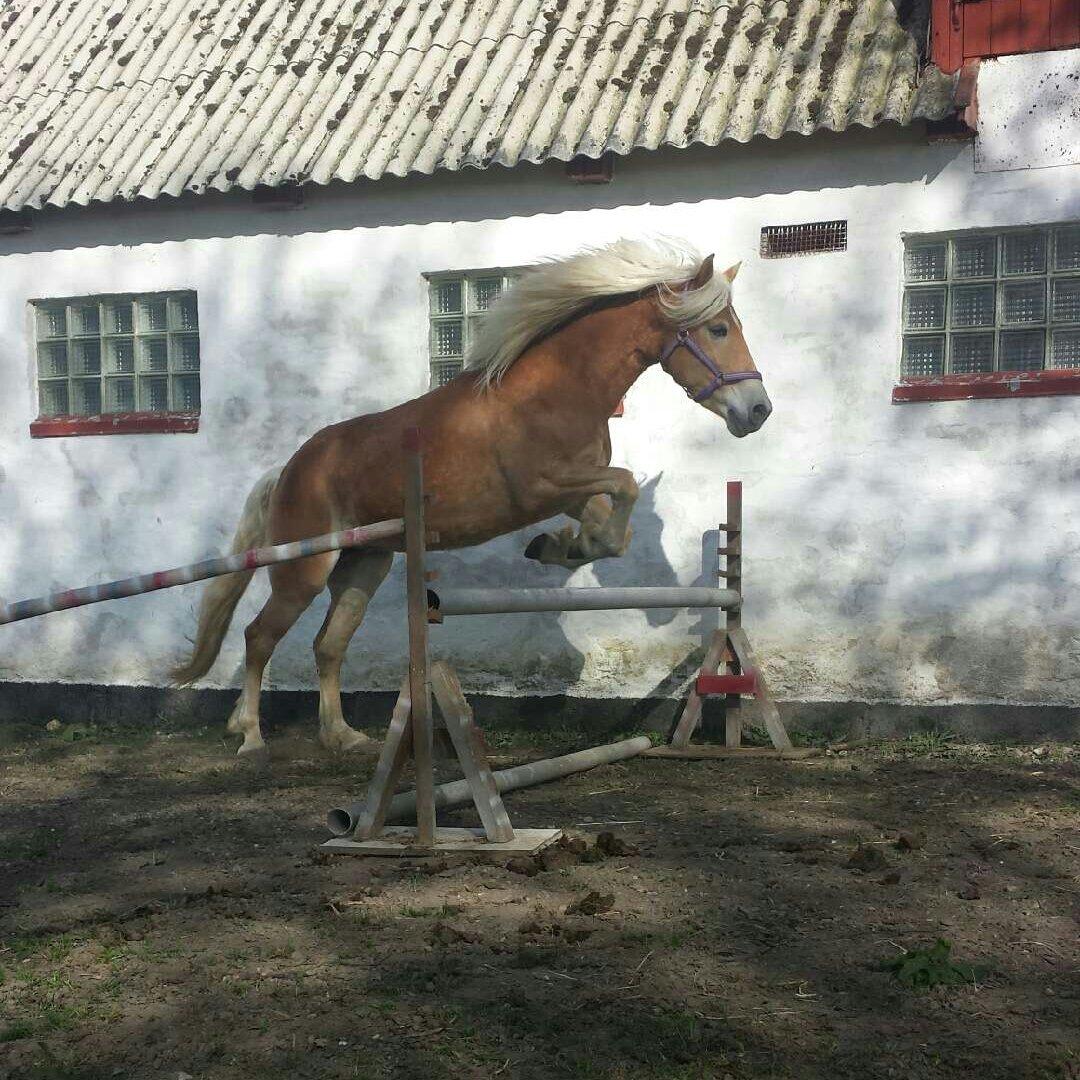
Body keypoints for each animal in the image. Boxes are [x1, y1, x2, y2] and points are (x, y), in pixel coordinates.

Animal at [172, 240, 773, 756]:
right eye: (719, 328)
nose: (758, 410)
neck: (558, 389)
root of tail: (289, 469)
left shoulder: (574, 489)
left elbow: (612, 533)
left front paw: (559, 547)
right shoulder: (541, 487)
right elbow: (622, 484)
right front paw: (558, 546)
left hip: (365, 564)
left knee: (328, 644)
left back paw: (341, 736)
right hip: (304, 569)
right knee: (259, 636)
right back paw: (250, 734)